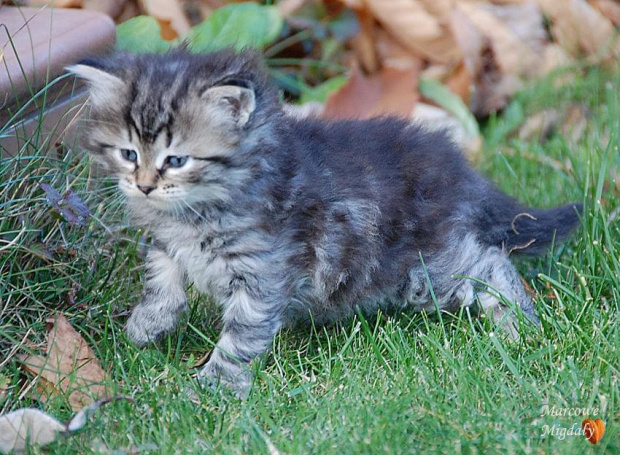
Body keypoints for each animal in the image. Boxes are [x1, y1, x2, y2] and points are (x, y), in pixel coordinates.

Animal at [68, 50, 580, 398]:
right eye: (129, 153)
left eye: (176, 160)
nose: (144, 186)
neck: (198, 211)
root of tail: (459, 171)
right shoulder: (167, 243)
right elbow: (162, 277)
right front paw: (146, 324)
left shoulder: (263, 273)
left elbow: (241, 335)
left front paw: (213, 387)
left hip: (422, 270)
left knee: (490, 260)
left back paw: (518, 324)